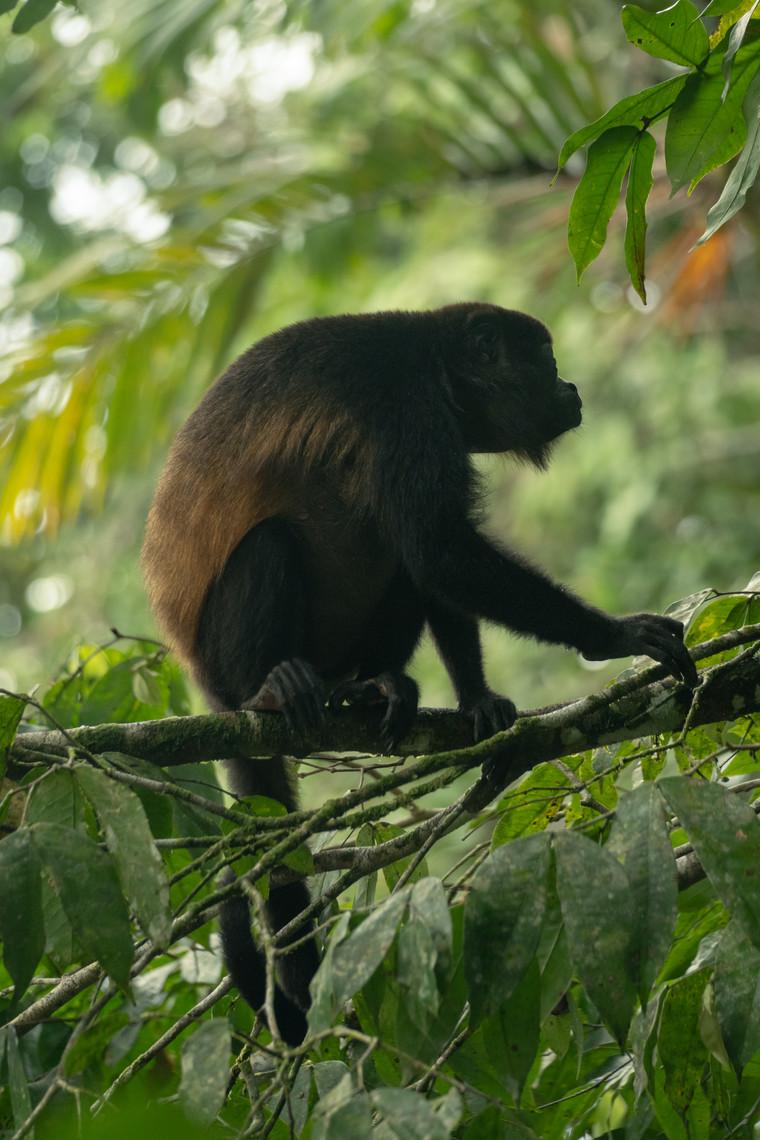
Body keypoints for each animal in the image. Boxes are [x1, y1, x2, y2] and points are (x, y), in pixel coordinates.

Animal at [142, 302, 697, 1045]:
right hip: (224, 658)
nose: (571, 388)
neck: (439, 365)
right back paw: (276, 686)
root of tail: (205, 682)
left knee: (394, 561)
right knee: (272, 544)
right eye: (545, 360)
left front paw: (479, 700)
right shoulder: (407, 412)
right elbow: (440, 549)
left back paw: (375, 687)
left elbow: (435, 567)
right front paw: (613, 635)